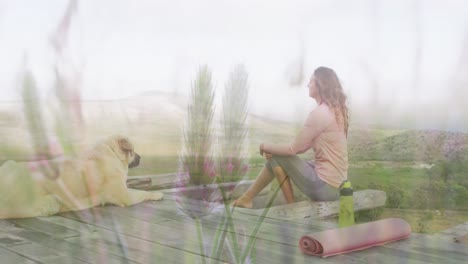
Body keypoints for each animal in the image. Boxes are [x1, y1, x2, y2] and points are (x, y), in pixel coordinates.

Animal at [0, 134, 165, 219]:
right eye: (133, 151)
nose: (140, 157)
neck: (111, 152)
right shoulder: (126, 196)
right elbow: (143, 192)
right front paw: (157, 194)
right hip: (51, 202)